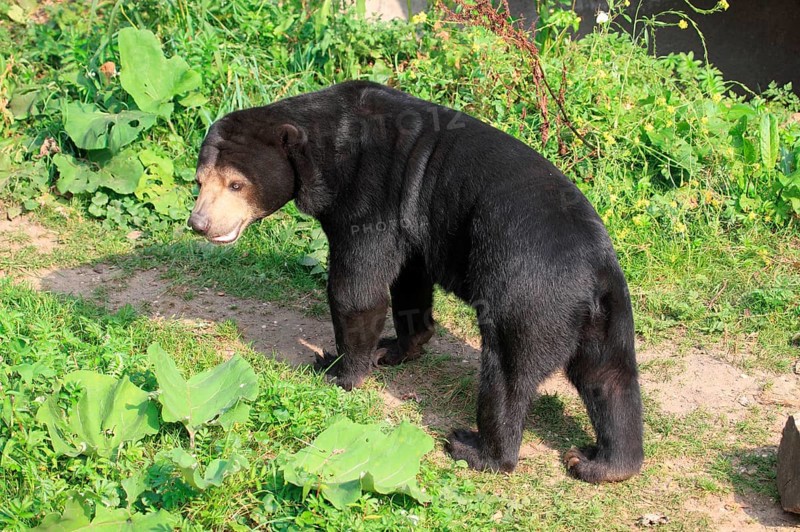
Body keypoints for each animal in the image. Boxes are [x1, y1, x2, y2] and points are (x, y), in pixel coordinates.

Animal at [188, 81, 644, 483]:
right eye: (199, 182)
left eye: (236, 184)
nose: (200, 224)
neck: (323, 146)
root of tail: (593, 270)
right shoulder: (413, 221)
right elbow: (408, 279)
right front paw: (395, 348)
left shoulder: (370, 194)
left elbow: (358, 287)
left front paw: (336, 369)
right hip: (607, 317)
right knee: (610, 378)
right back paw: (602, 464)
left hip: (528, 295)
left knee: (506, 373)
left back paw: (476, 449)